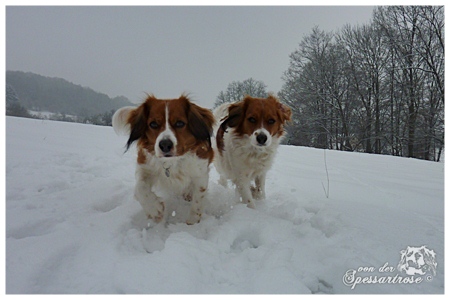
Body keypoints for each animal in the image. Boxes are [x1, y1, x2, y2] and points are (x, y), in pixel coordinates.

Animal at [114, 95, 216, 224]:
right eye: (153, 124)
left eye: (179, 123)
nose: (165, 145)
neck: (172, 162)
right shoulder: (145, 167)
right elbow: (140, 188)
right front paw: (154, 209)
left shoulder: (200, 173)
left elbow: (198, 201)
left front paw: (192, 223)